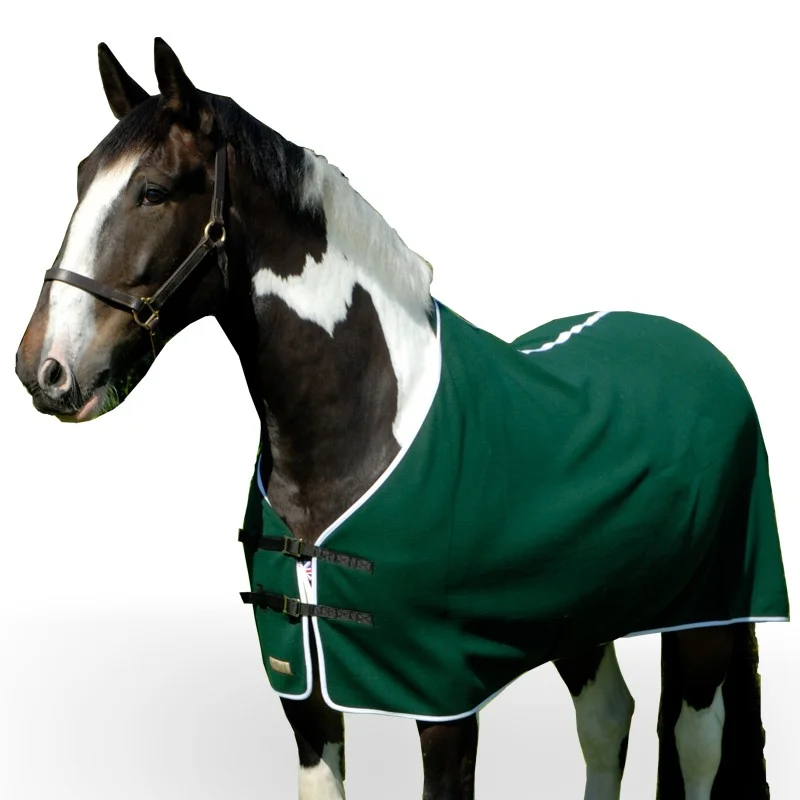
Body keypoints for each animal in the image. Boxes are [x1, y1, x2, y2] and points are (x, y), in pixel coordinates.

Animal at [15, 39, 789, 800]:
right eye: (81, 180)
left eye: (152, 190)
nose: (44, 370)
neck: (351, 435)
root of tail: (697, 349)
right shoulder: (305, 695)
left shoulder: (442, 698)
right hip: (577, 617)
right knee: (607, 720)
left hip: (712, 610)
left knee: (695, 740)